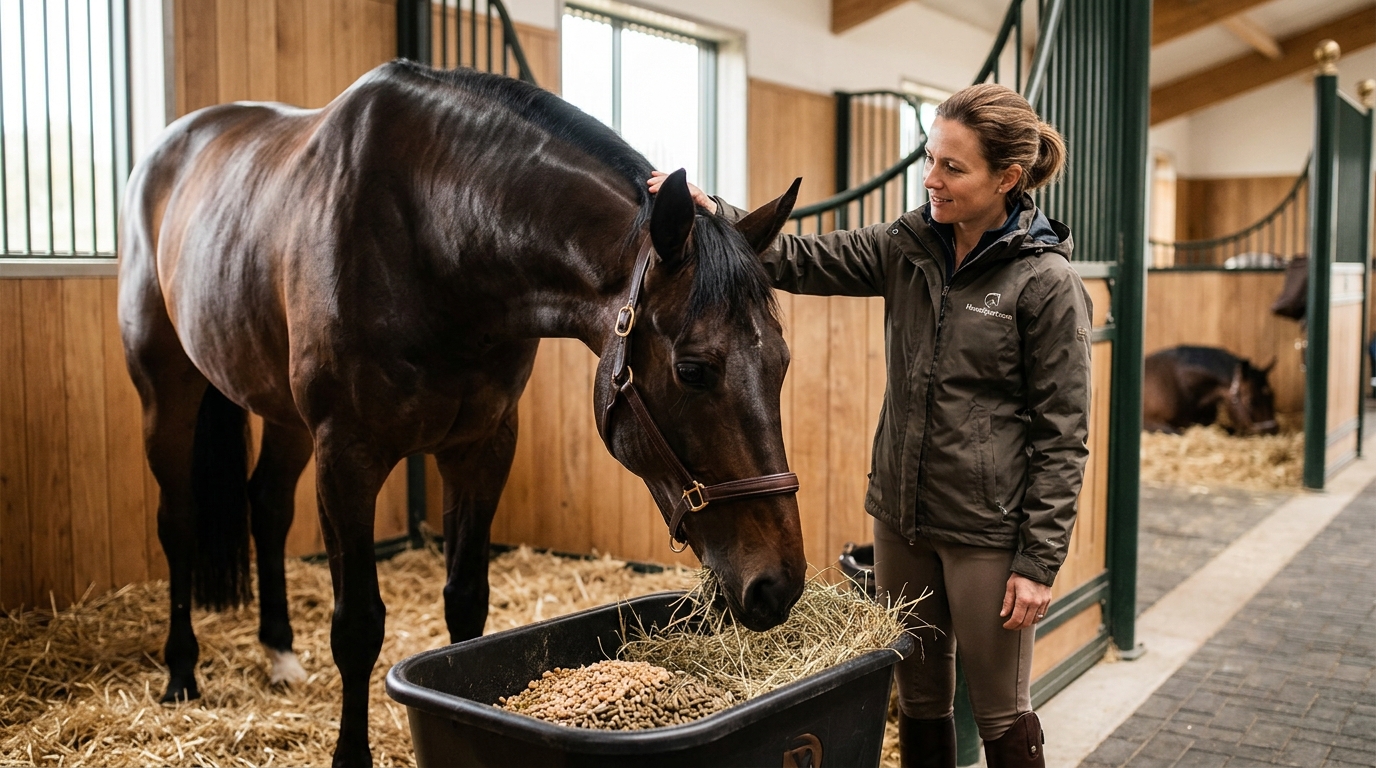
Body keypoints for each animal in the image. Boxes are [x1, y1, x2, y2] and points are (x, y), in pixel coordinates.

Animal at [118, 60, 807, 766]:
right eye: (693, 369)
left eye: (781, 362)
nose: (778, 586)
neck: (433, 237)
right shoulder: (347, 456)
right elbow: (357, 626)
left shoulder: (481, 447)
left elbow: (467, 604)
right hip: (166, 392)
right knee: (178, 521)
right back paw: (181, 672)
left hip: (283, 418)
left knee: (268, 506)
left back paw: (280, 652)